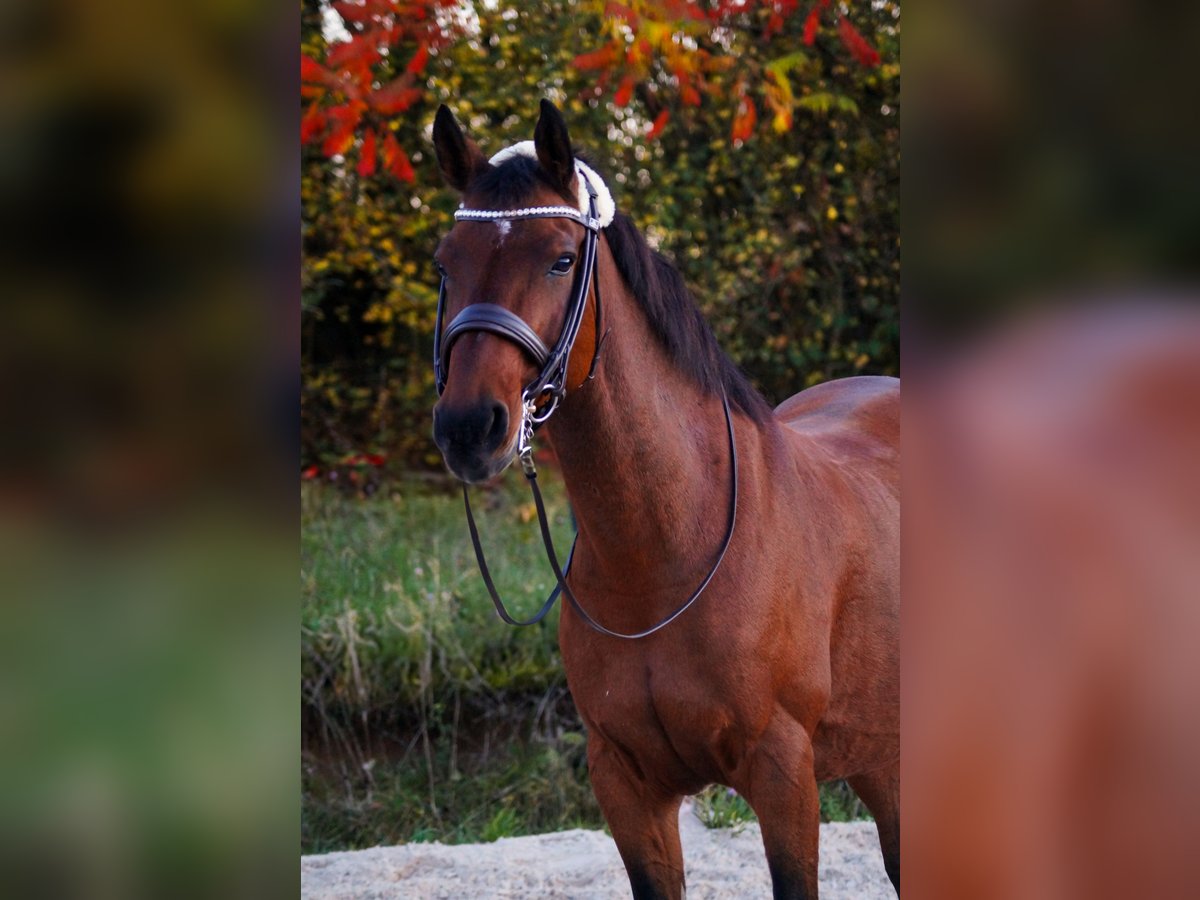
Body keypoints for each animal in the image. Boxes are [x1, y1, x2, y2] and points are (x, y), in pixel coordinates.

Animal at [432, 102, 902, 897]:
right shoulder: (626, 786)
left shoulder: (784, 775)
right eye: (445, 261)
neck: (664, 552)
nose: (470, 427)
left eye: (561, 259)